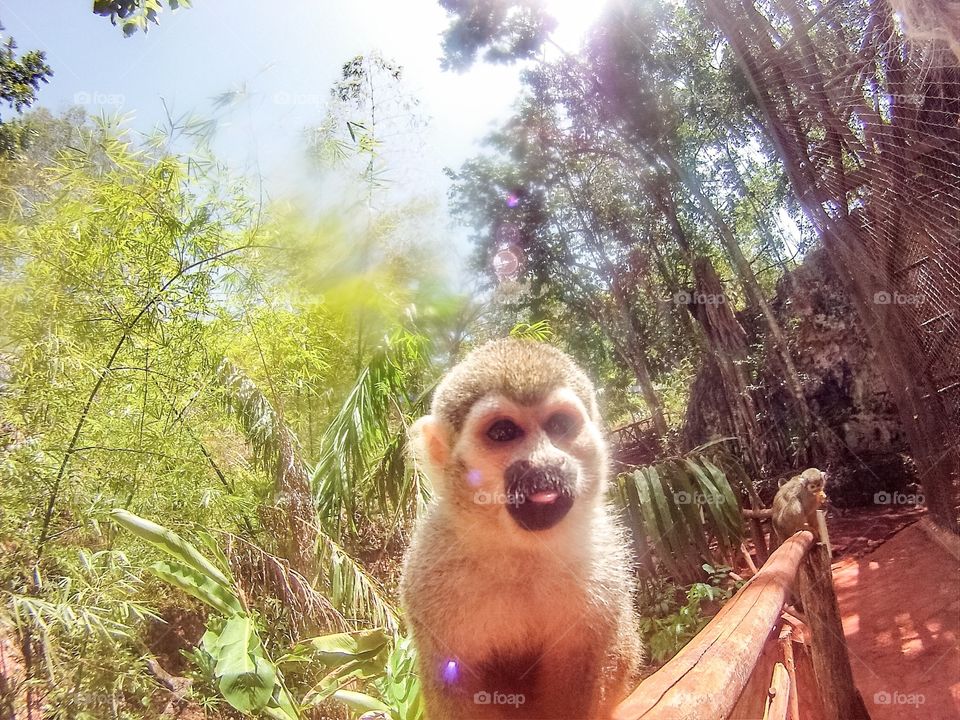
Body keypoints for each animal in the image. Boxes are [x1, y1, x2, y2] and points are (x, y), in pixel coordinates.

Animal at [400, 338, 643, 720]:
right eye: (503, 432)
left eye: (559, 424)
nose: (545, 463)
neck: (520, 550)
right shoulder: (427, 575)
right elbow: (454, 678)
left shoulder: (603, 561)